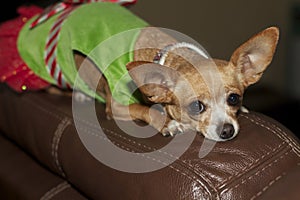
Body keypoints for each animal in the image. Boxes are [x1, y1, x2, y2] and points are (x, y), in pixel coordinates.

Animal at [74, 26, 278, 141]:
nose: (227, 130)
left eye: (234, 98)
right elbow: (144, 109)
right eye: (196, 106)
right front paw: (167, 124)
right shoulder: (116, 107)